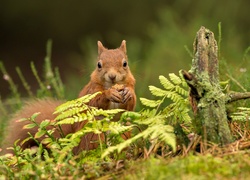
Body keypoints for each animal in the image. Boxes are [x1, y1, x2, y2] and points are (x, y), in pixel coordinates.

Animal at [1, 40, 136, 155]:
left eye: (125, 64)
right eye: (99, 65)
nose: (112, 76)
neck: (111, 85)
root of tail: (75, 148)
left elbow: (130, 105)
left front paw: (129, 93)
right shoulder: (91, 91)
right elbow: (95, 102)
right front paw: (109, 94)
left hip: (124, 129)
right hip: (92, 134)